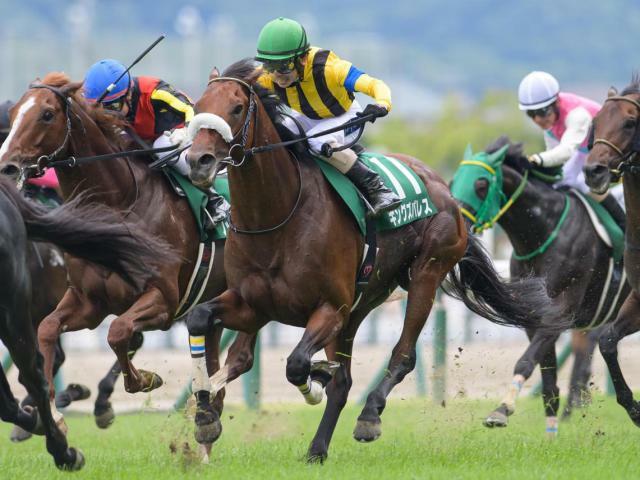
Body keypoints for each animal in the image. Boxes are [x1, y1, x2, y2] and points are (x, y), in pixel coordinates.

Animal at [0, 72, 235, 446]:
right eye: (13, 115)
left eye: (47, 114)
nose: (8, 167)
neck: (122, 203)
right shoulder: (88, 301)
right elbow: (48, 331)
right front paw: (53, 416)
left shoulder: (163, 299)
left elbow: (119, 332)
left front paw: (145, 380)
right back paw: (208, 414)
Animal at [182, 60, 564, 462]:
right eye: (199, 106)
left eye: (237, 108)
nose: (198, 161)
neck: (276, 217)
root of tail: (444, 190)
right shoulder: (254, 305)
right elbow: (201, 319)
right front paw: (205, 414)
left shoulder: (329, 307)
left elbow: (296, 363)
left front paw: (313, 383)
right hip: (363, 302)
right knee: (343, 380)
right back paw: (317, 447)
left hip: (425, 273)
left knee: (402, 355)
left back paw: (368, 415)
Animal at [450, 136, 632, 436]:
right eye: (453, 180)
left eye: (481, 184)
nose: (457, 226)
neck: (544, 231)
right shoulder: (534, 317)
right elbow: (548, 380)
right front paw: (551, 434)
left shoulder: (559, 314)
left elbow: (526, 360)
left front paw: (502, 409)